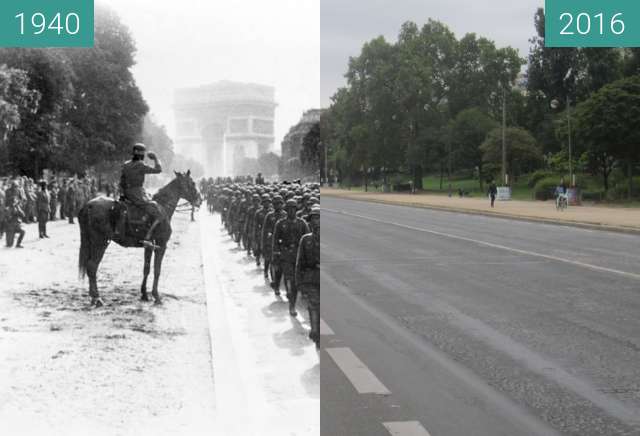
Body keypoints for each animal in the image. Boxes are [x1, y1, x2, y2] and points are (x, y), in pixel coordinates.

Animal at [78, 170, 201, 306]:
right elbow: (157, 270)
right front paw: (156, 296)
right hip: (100, 242)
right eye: (192, 183)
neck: (163, 207)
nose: (200, 200)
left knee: (90, 267)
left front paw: (144, 294)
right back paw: (97, 298)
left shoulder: (149, 246)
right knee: (92, 266)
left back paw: (93, 297)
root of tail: (88, 205)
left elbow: (146, 269)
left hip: (91, 242)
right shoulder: (161, 245)